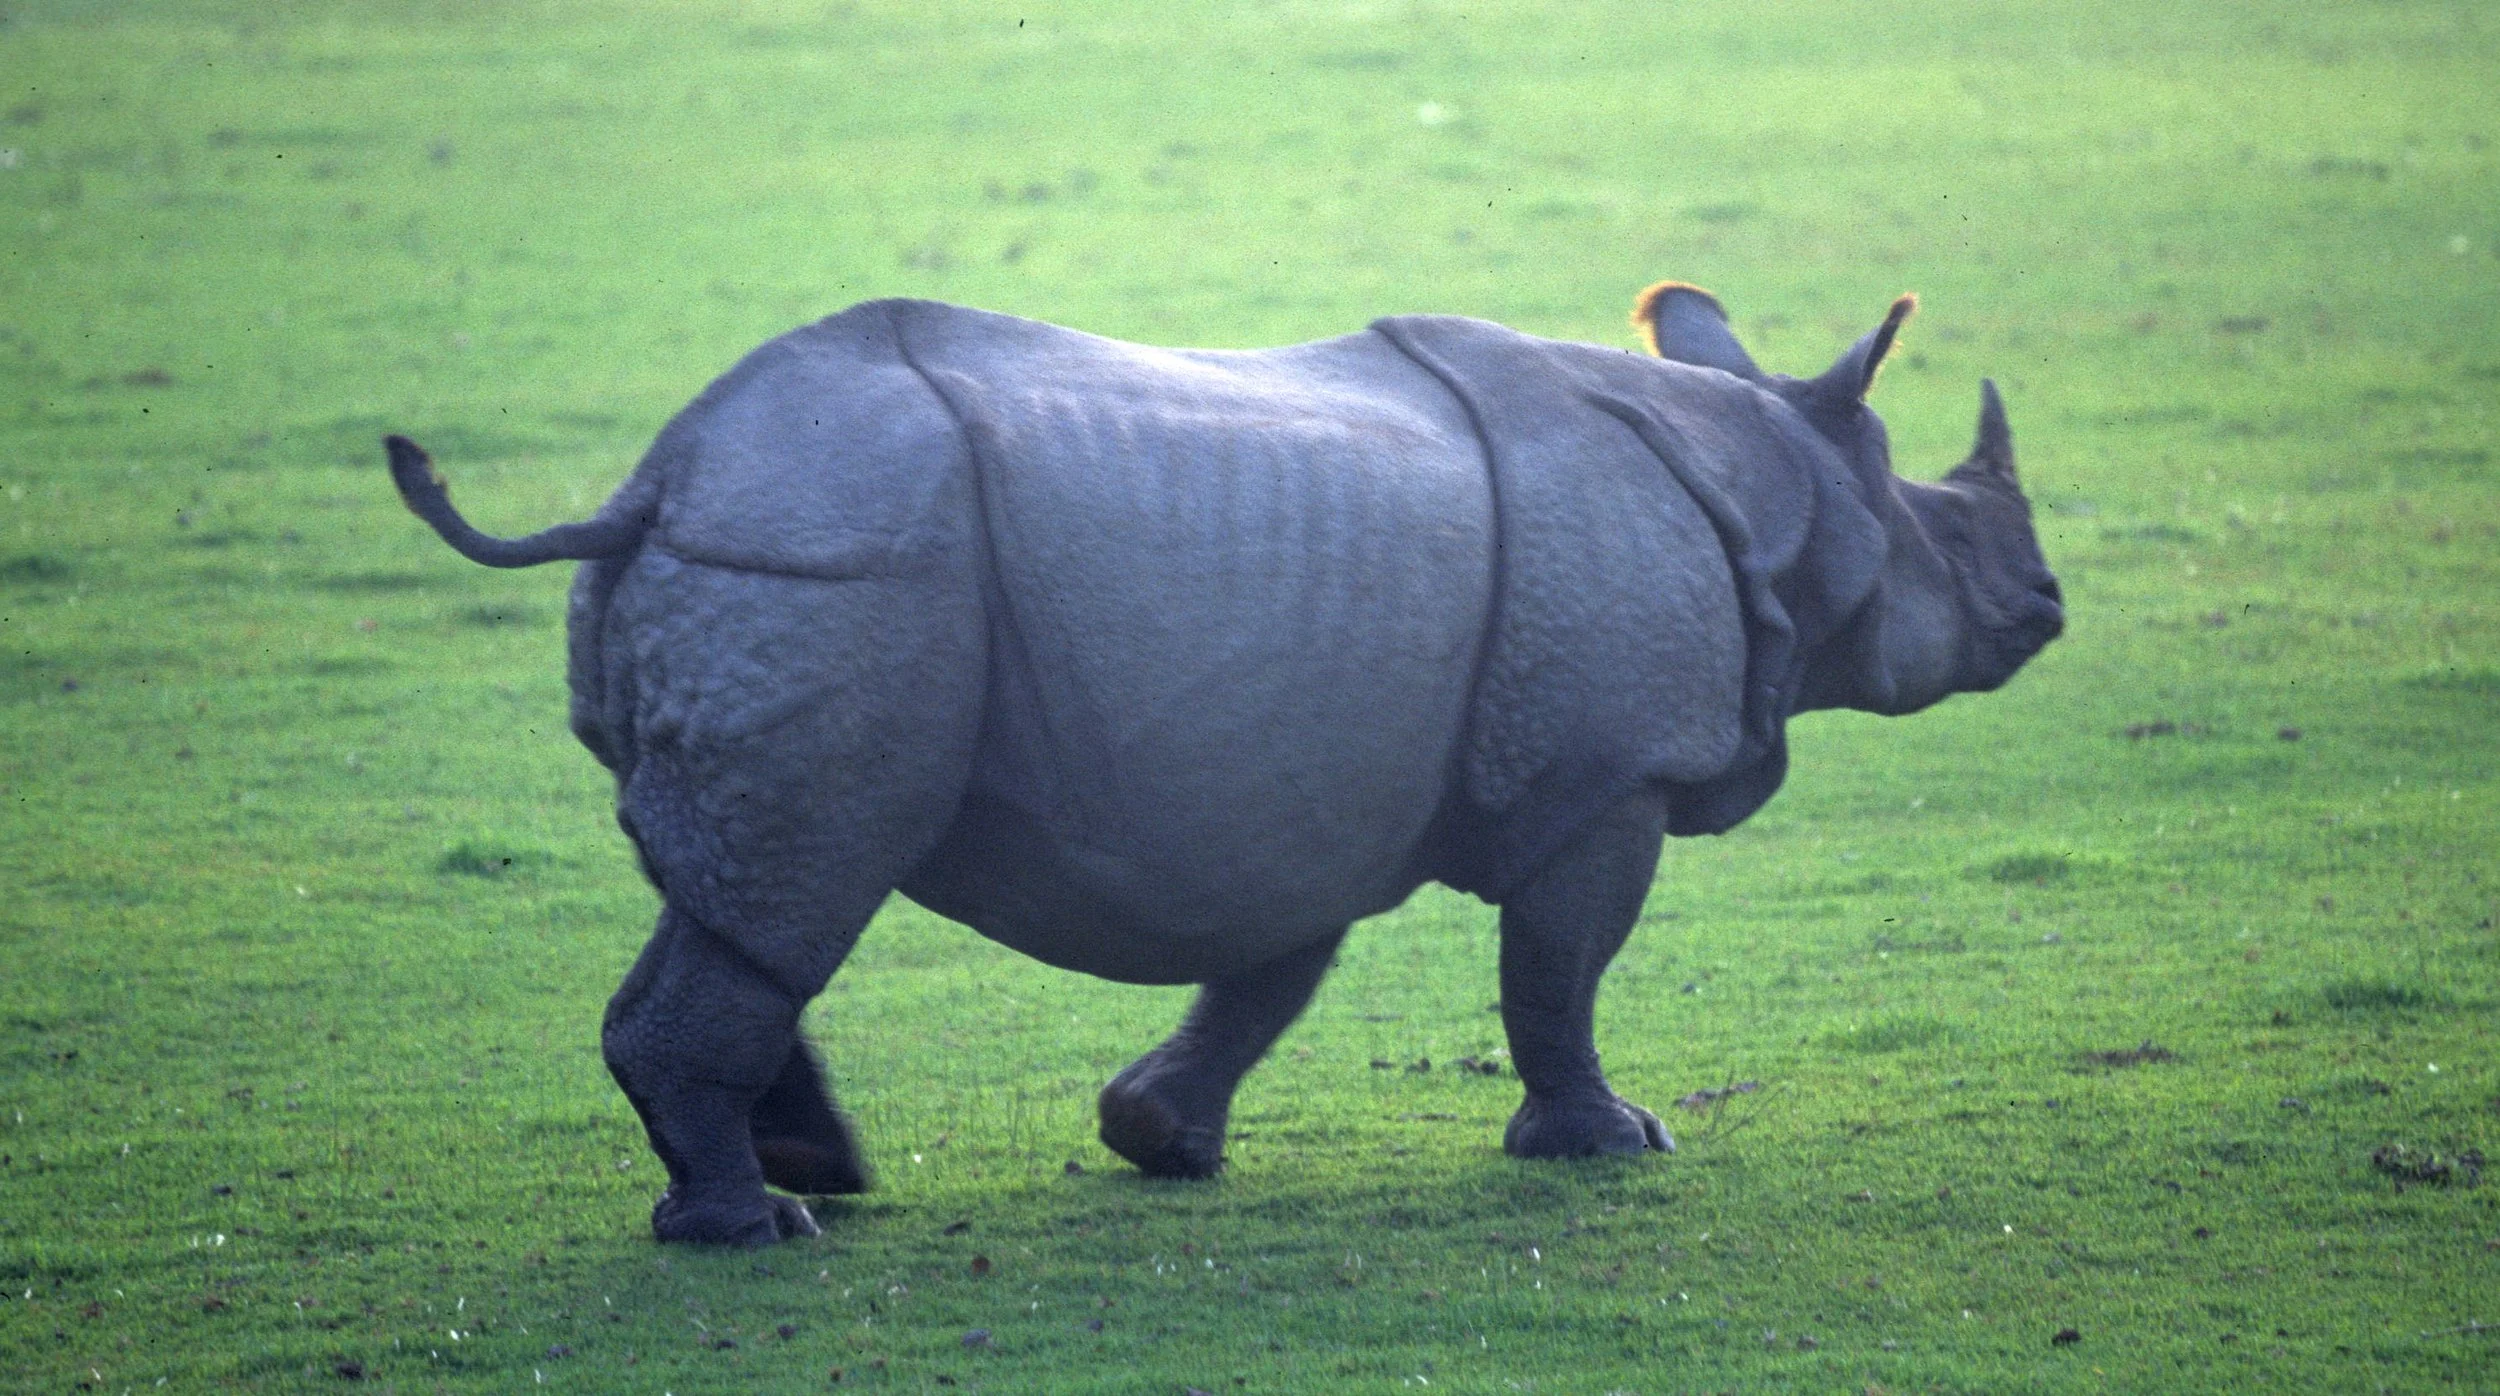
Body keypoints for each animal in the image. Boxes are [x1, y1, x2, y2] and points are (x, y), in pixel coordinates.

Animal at [384, 281, 2062, 1245]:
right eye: (1952, 531)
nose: (2047, 606)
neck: (1785, 484)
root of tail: (659, 482)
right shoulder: (1608, 771)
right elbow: (1559, 965)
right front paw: (1610, 1147)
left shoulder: (1303, 775)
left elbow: (1268, 970)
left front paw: (1158, 1142)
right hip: (840, 567)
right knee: (806, 875)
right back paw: (754, 1229)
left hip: (795, 562)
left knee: (747, 883)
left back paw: (810, 1178)